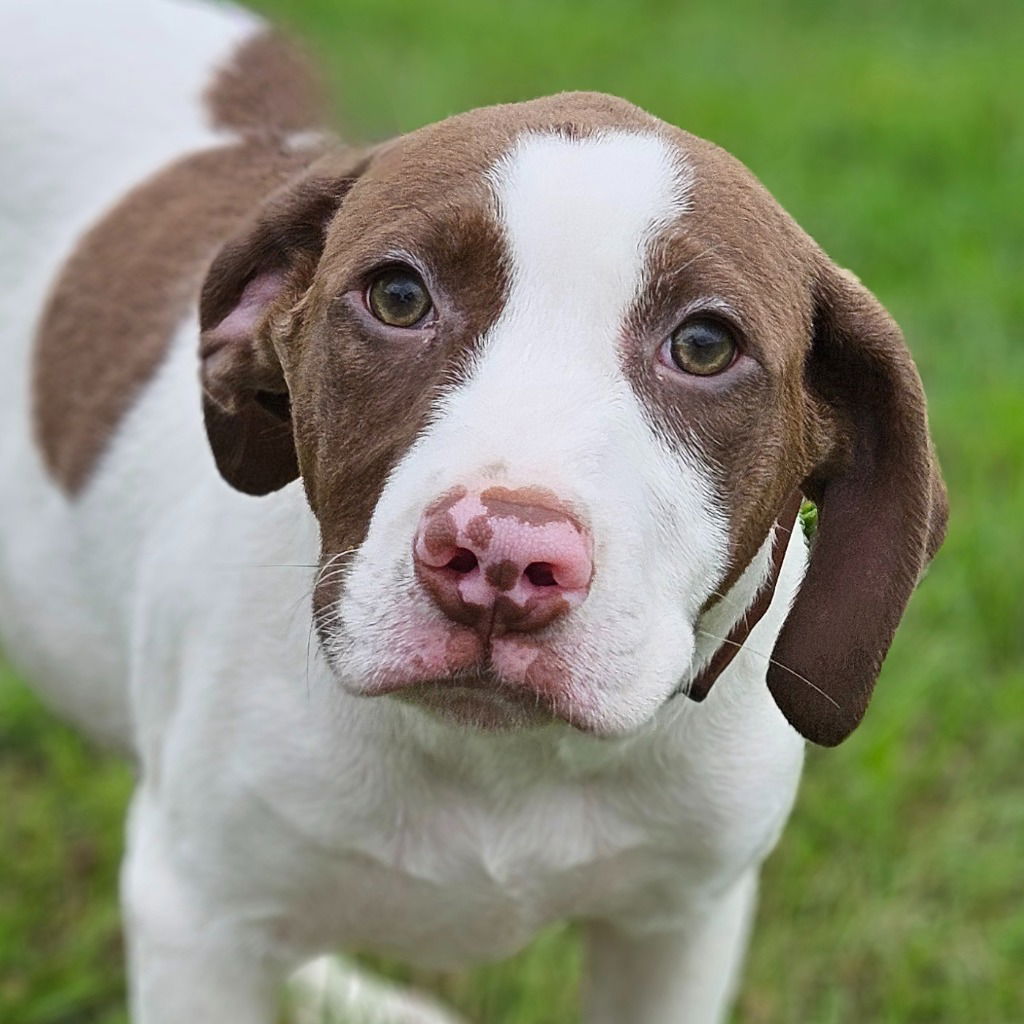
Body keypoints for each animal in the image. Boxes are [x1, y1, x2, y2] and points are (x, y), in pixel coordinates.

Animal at [0, 2, 946, 1024]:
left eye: (704, 346)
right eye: (397, 296)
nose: (500, 558)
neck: (495, 758)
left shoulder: (680, 925)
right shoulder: (198, 919)